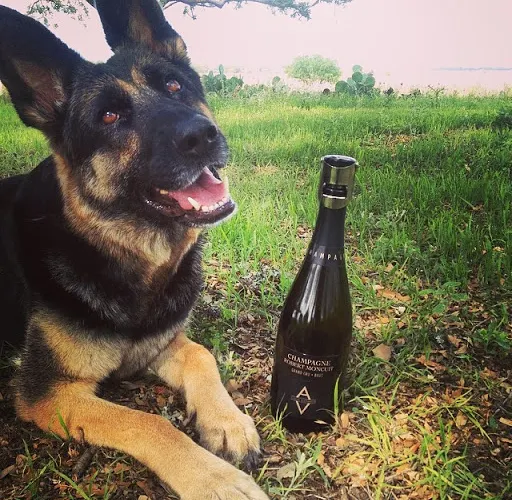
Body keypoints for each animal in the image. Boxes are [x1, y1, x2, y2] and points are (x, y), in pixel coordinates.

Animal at [0, 1, 269, 498]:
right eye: (109, 117)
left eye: (174, 86)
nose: (202, 136)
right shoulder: (49, 392)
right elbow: (149, 423)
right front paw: (215, 479)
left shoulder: (162, 344)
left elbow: (201, 355)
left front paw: (227, 422)